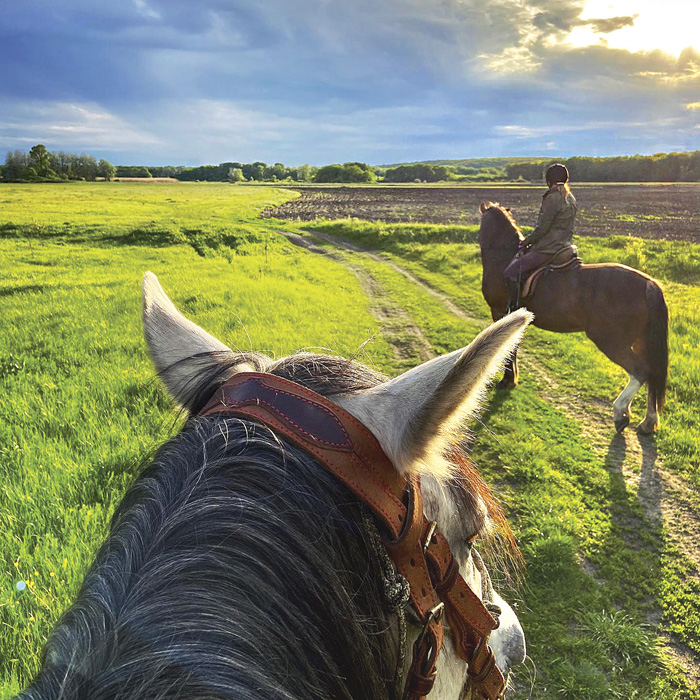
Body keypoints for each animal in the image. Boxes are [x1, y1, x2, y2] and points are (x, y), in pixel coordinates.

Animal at [478, 200, 668, 434]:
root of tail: (648, 283)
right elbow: (514, 346)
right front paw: (511, 379)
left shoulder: (499, 313)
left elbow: (508, 348)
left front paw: (507, 380)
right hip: (641, 342)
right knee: (652, 375)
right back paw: (648, 423)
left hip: (611, 342)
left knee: (640, 371)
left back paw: (620, 412)